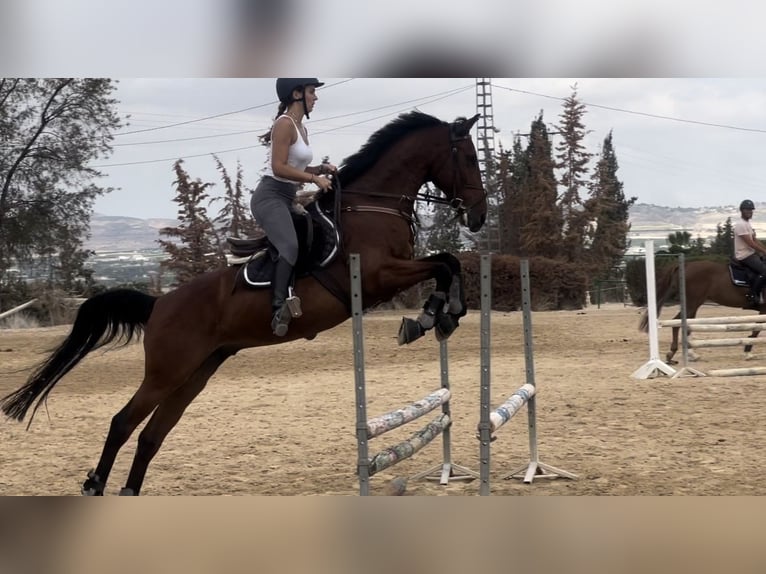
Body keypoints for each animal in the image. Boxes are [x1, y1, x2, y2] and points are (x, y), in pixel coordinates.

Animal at [0, 111, 487, 495]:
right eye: (468, 158)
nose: (480, 216)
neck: (372, 205)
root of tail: (159, 305)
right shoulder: (378, 276)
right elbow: (443, 263)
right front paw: (428, 318)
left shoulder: (394, 271)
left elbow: (447, 262)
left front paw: (444, 315)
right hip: (167, 371)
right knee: (124, 422)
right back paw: (95, 484)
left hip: (197, 373)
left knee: (152, 434)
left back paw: (129, 492)